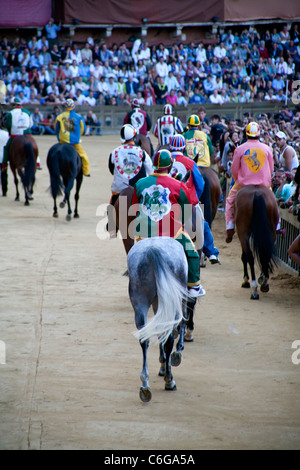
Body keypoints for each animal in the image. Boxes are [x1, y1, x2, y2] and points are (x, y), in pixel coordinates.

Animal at [126, 237, 195, 402]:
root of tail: (152, 251)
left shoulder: (158, 304)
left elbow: (159, 331)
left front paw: (163, 363)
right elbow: (182, 321)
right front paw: (176, 354)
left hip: (140, 302)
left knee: (144, 339)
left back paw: (145, 385)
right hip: (174, 300)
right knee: (170, 337)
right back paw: (169, 380)